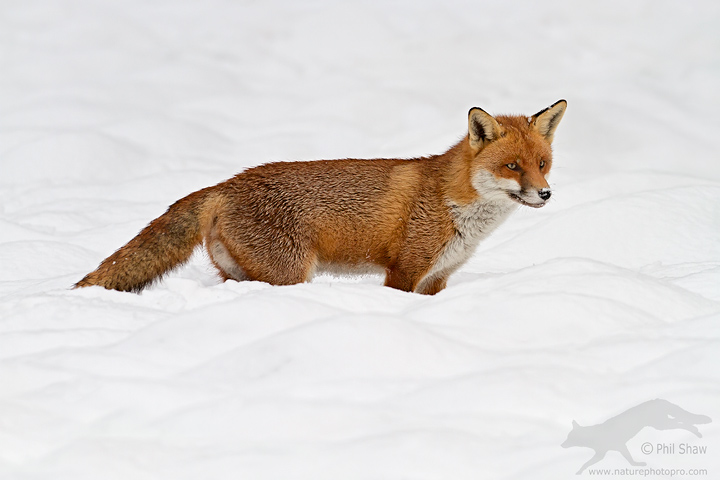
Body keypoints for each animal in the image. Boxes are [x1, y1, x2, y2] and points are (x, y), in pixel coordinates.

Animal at [75, 100, 567, 294]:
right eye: (512, 167)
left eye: (542, 163)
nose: (545, 194)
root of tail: (225, 184)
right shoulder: (405, 271)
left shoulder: (438, 278)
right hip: (291, 274)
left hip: (242, 275)